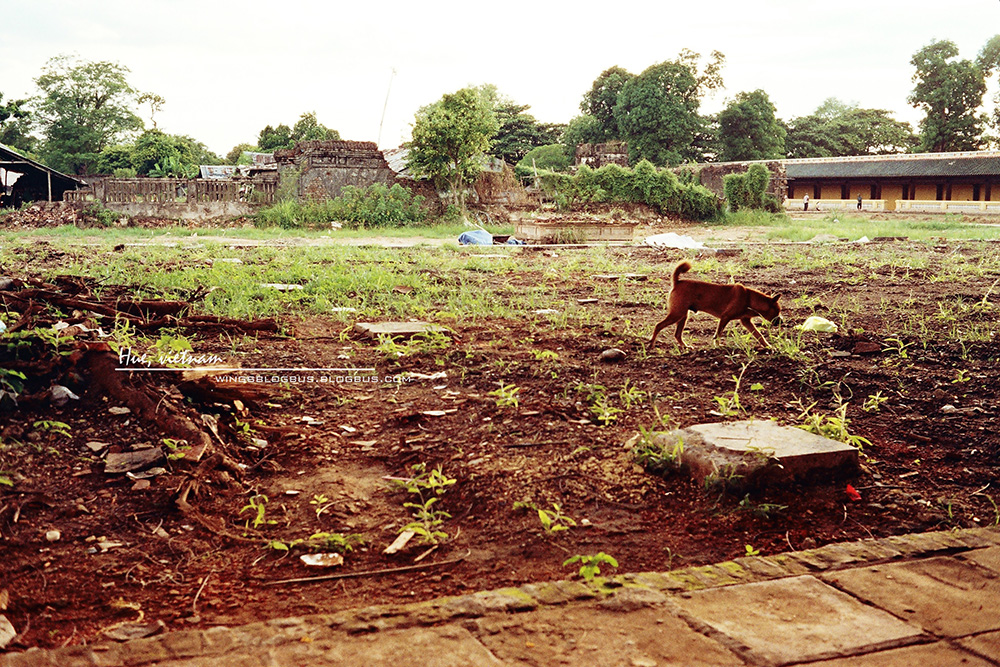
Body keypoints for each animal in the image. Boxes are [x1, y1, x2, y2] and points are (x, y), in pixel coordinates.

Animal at [648, 260, 780, 352]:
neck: (749, 298)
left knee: (677, 334)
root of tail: (677, 282)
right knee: (658, 326)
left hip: (683, 316)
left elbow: (759, 336)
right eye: (777, 311)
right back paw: (651, 344)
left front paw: (769, 347)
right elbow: (718, 335)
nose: (781, 322)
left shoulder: (746, 322)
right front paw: (718, 346)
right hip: (677, 314)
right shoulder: (725, 317)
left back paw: (685, 346)